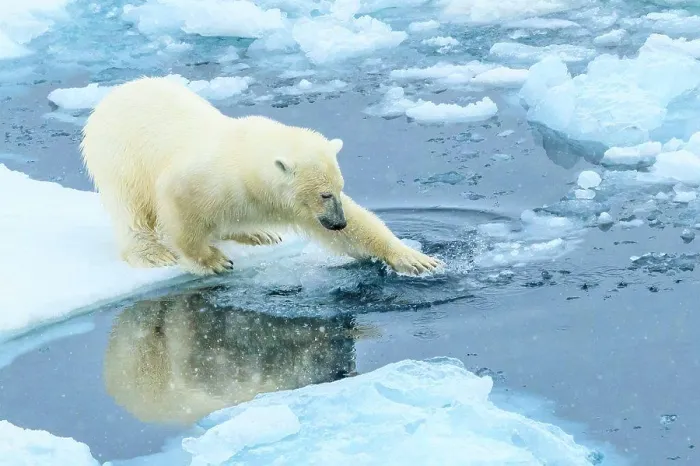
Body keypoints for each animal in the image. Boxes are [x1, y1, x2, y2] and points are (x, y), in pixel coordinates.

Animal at [80, 76, 442, 276]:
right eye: (324, 194)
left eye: (340, 189)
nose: (338, 222)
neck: (246, 167)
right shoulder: (205, 179)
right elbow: (178, 205)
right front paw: (212, 260)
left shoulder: (286, 203)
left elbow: (358, 228)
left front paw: (416, 259)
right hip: (118, 155)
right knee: (129, 206)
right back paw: (151, 252)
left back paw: (259, 233)